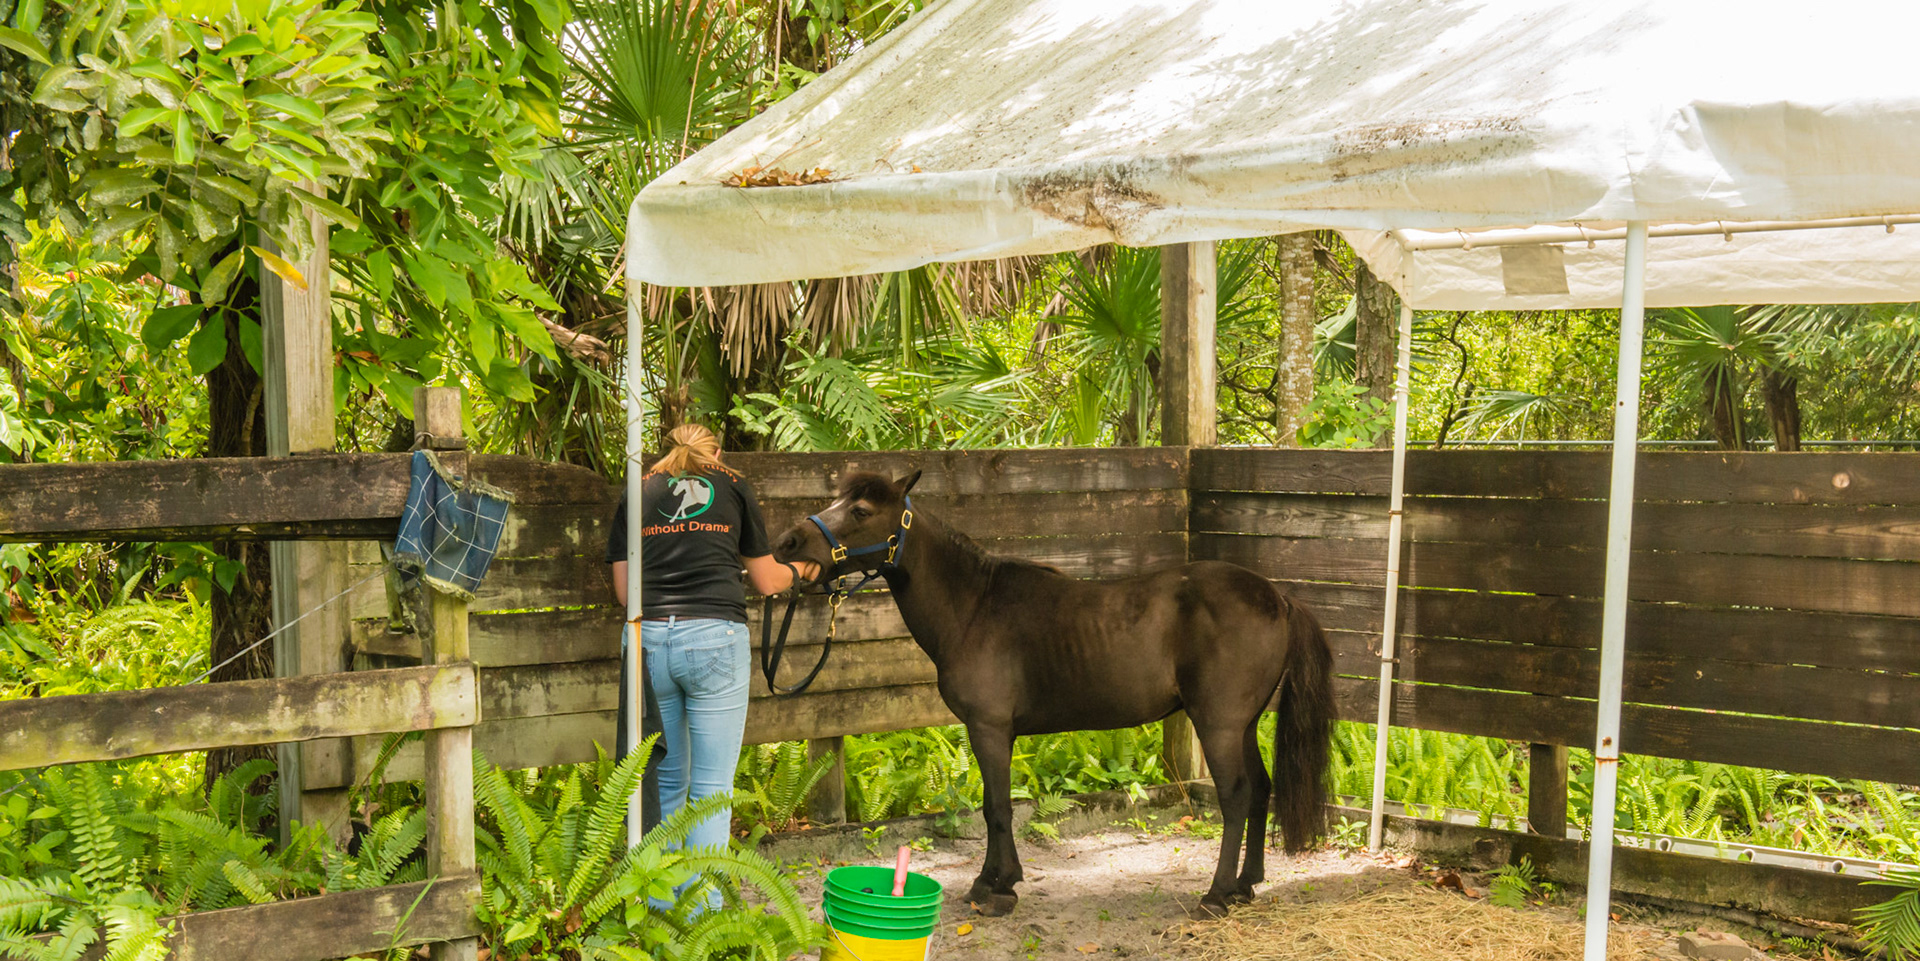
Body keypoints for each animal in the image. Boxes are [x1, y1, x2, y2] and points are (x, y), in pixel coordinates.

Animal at [771, 469, 1335, 917]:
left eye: (861, 510)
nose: (788, 544)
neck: (974, 606)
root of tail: (1278, 597)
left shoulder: (989, 728)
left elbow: (997, 808)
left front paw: (996, 889)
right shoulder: (993, 733)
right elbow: (992, 804)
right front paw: (996, 880)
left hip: (1217, 725)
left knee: (1236, 796)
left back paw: (1216, 895)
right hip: (1242, 725)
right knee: (1260, 789)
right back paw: (1245, 885)